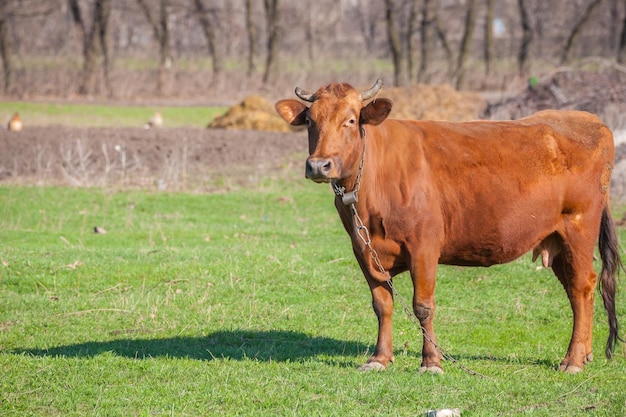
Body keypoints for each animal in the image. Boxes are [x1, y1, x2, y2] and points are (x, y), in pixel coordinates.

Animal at [276, 79, 620, 374]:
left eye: (349, 120)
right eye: (310, 121)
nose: (319, 165)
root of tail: (590, 120)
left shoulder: (424, 246)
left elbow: (423, 306)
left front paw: (431, 362)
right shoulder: (363, 249)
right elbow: (382, 305)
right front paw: (379, 358)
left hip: (578, 228)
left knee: (581, 286)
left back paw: (573, 360)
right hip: (556, 240)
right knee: (579, 290)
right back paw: (585, 353)